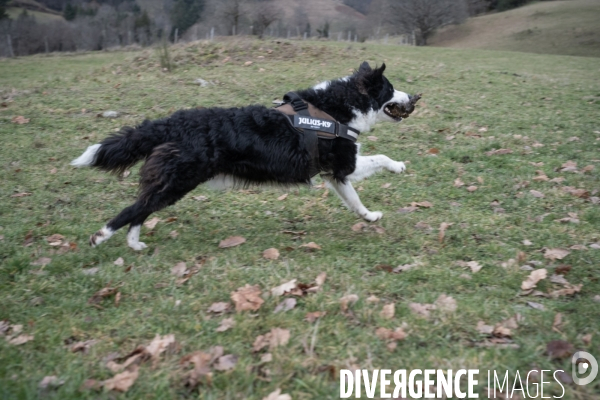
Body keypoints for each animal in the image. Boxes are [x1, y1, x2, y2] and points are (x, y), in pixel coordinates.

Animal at [72, 61, 420, 250]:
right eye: (390, 89)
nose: (416, 97)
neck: (339, 107)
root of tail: (173, 122)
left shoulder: (335, 174)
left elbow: (354, 201)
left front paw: (369, 217)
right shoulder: (344, 162)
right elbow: (380, 158)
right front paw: (399, 166)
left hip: (171, 182)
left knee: (142, 208)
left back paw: (133, 243)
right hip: (179, 180)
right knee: (132, 209)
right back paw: (101, 237)